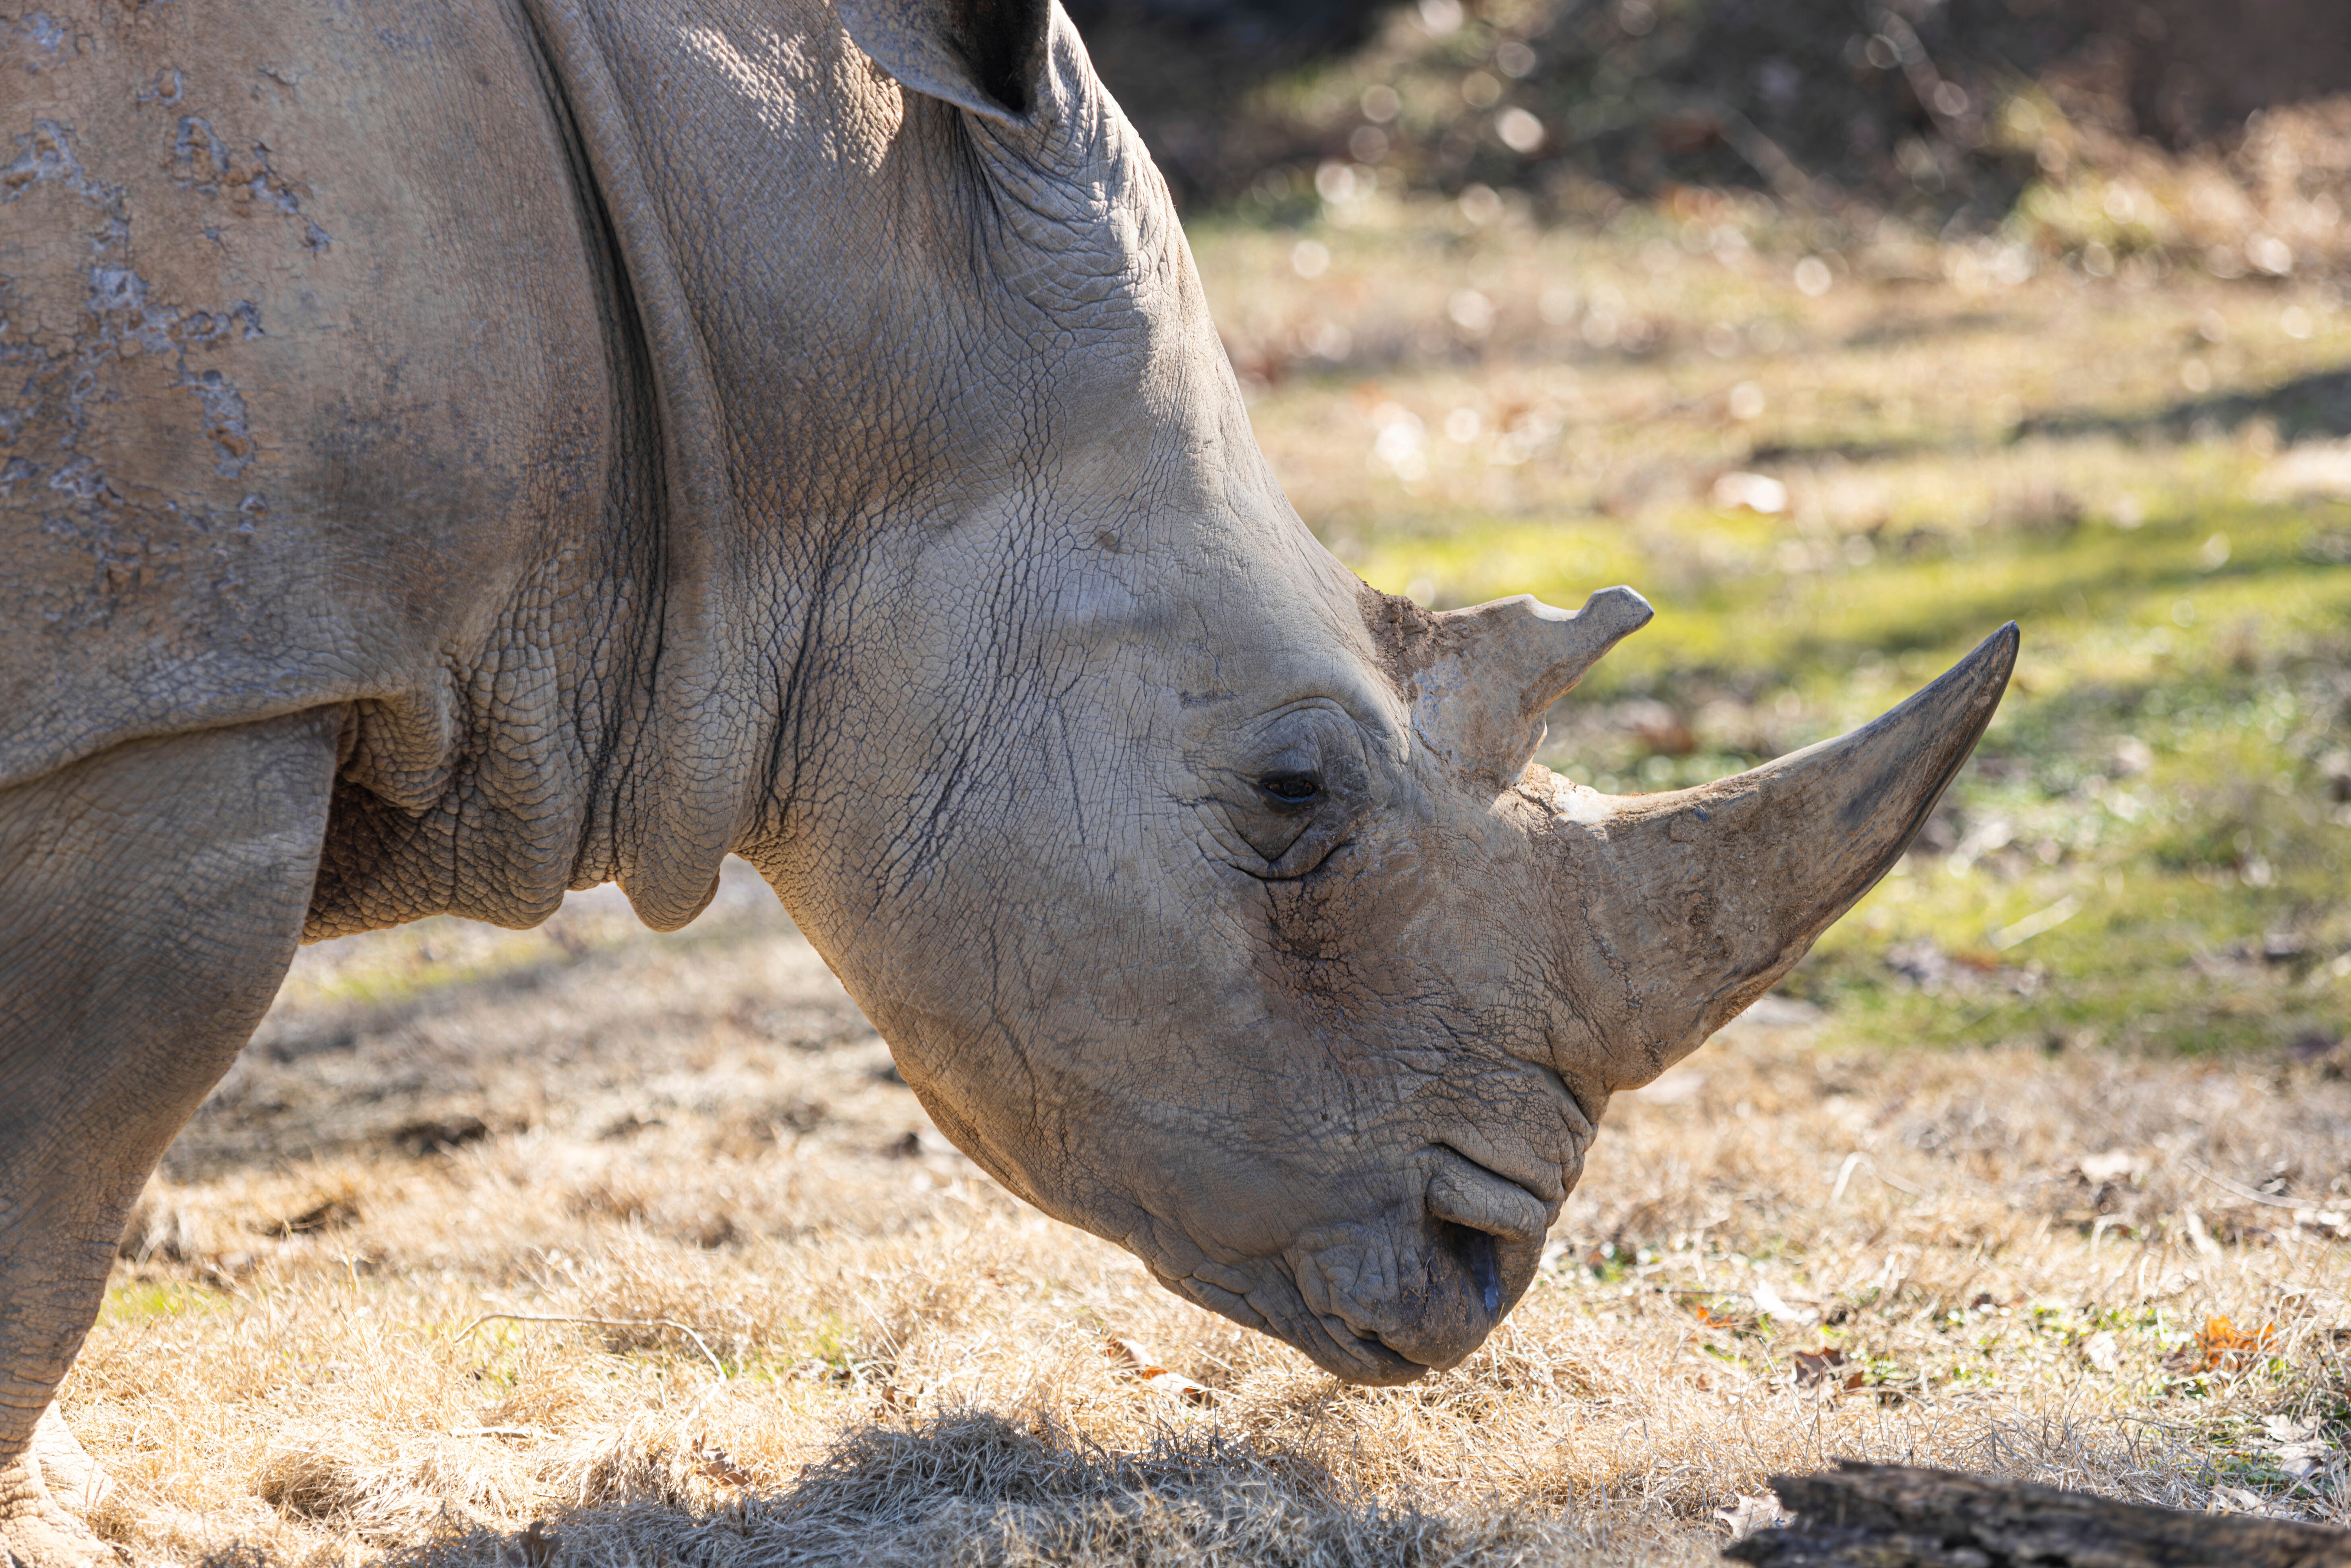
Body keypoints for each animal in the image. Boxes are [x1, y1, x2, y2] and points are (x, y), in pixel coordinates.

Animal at [0, 0, 2013, 1558]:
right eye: (1293, 791)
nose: (1480, 1259)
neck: (782, 335)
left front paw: (71, 1497)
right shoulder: (185, 707)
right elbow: (60, 1187)